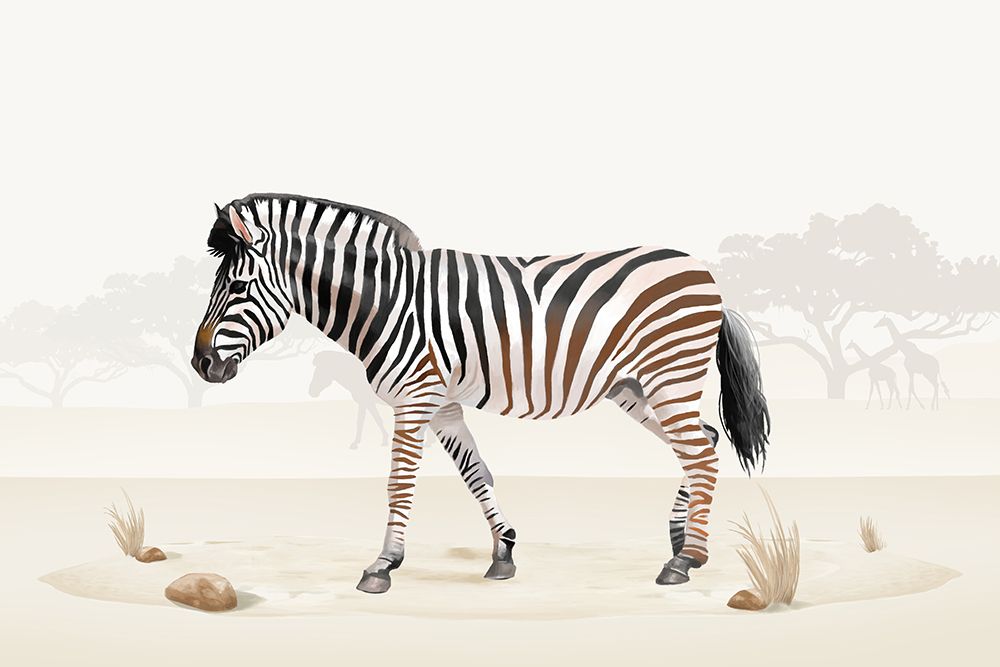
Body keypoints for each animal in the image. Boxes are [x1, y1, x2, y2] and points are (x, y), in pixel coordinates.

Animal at [192, 193, 770, 594]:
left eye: (237, 288)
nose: (201, 364)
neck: (388, 301)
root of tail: (704, 274)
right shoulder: (442, 405)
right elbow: (477, 474)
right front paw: (503, 552)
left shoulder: (415, 398)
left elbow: (399, 485)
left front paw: (383, 565)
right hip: (634, 386)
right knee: (706, 440)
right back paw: (680, 540)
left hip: (670, 373)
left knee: (700, 453)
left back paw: (685, 559)